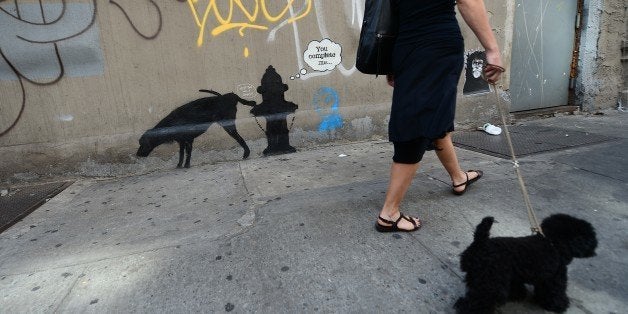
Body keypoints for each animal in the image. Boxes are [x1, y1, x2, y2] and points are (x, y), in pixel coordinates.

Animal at [454, 213, 596, 314]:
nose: (594, 246)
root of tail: (481, 243)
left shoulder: (517, 276)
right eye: (588, 236)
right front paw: (559, 305)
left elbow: (518, 285)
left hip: (477, 278)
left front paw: (518, 295)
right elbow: (555, 292)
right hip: (490, 286)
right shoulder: (555, 277)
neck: (553, 243)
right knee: (477, 302)